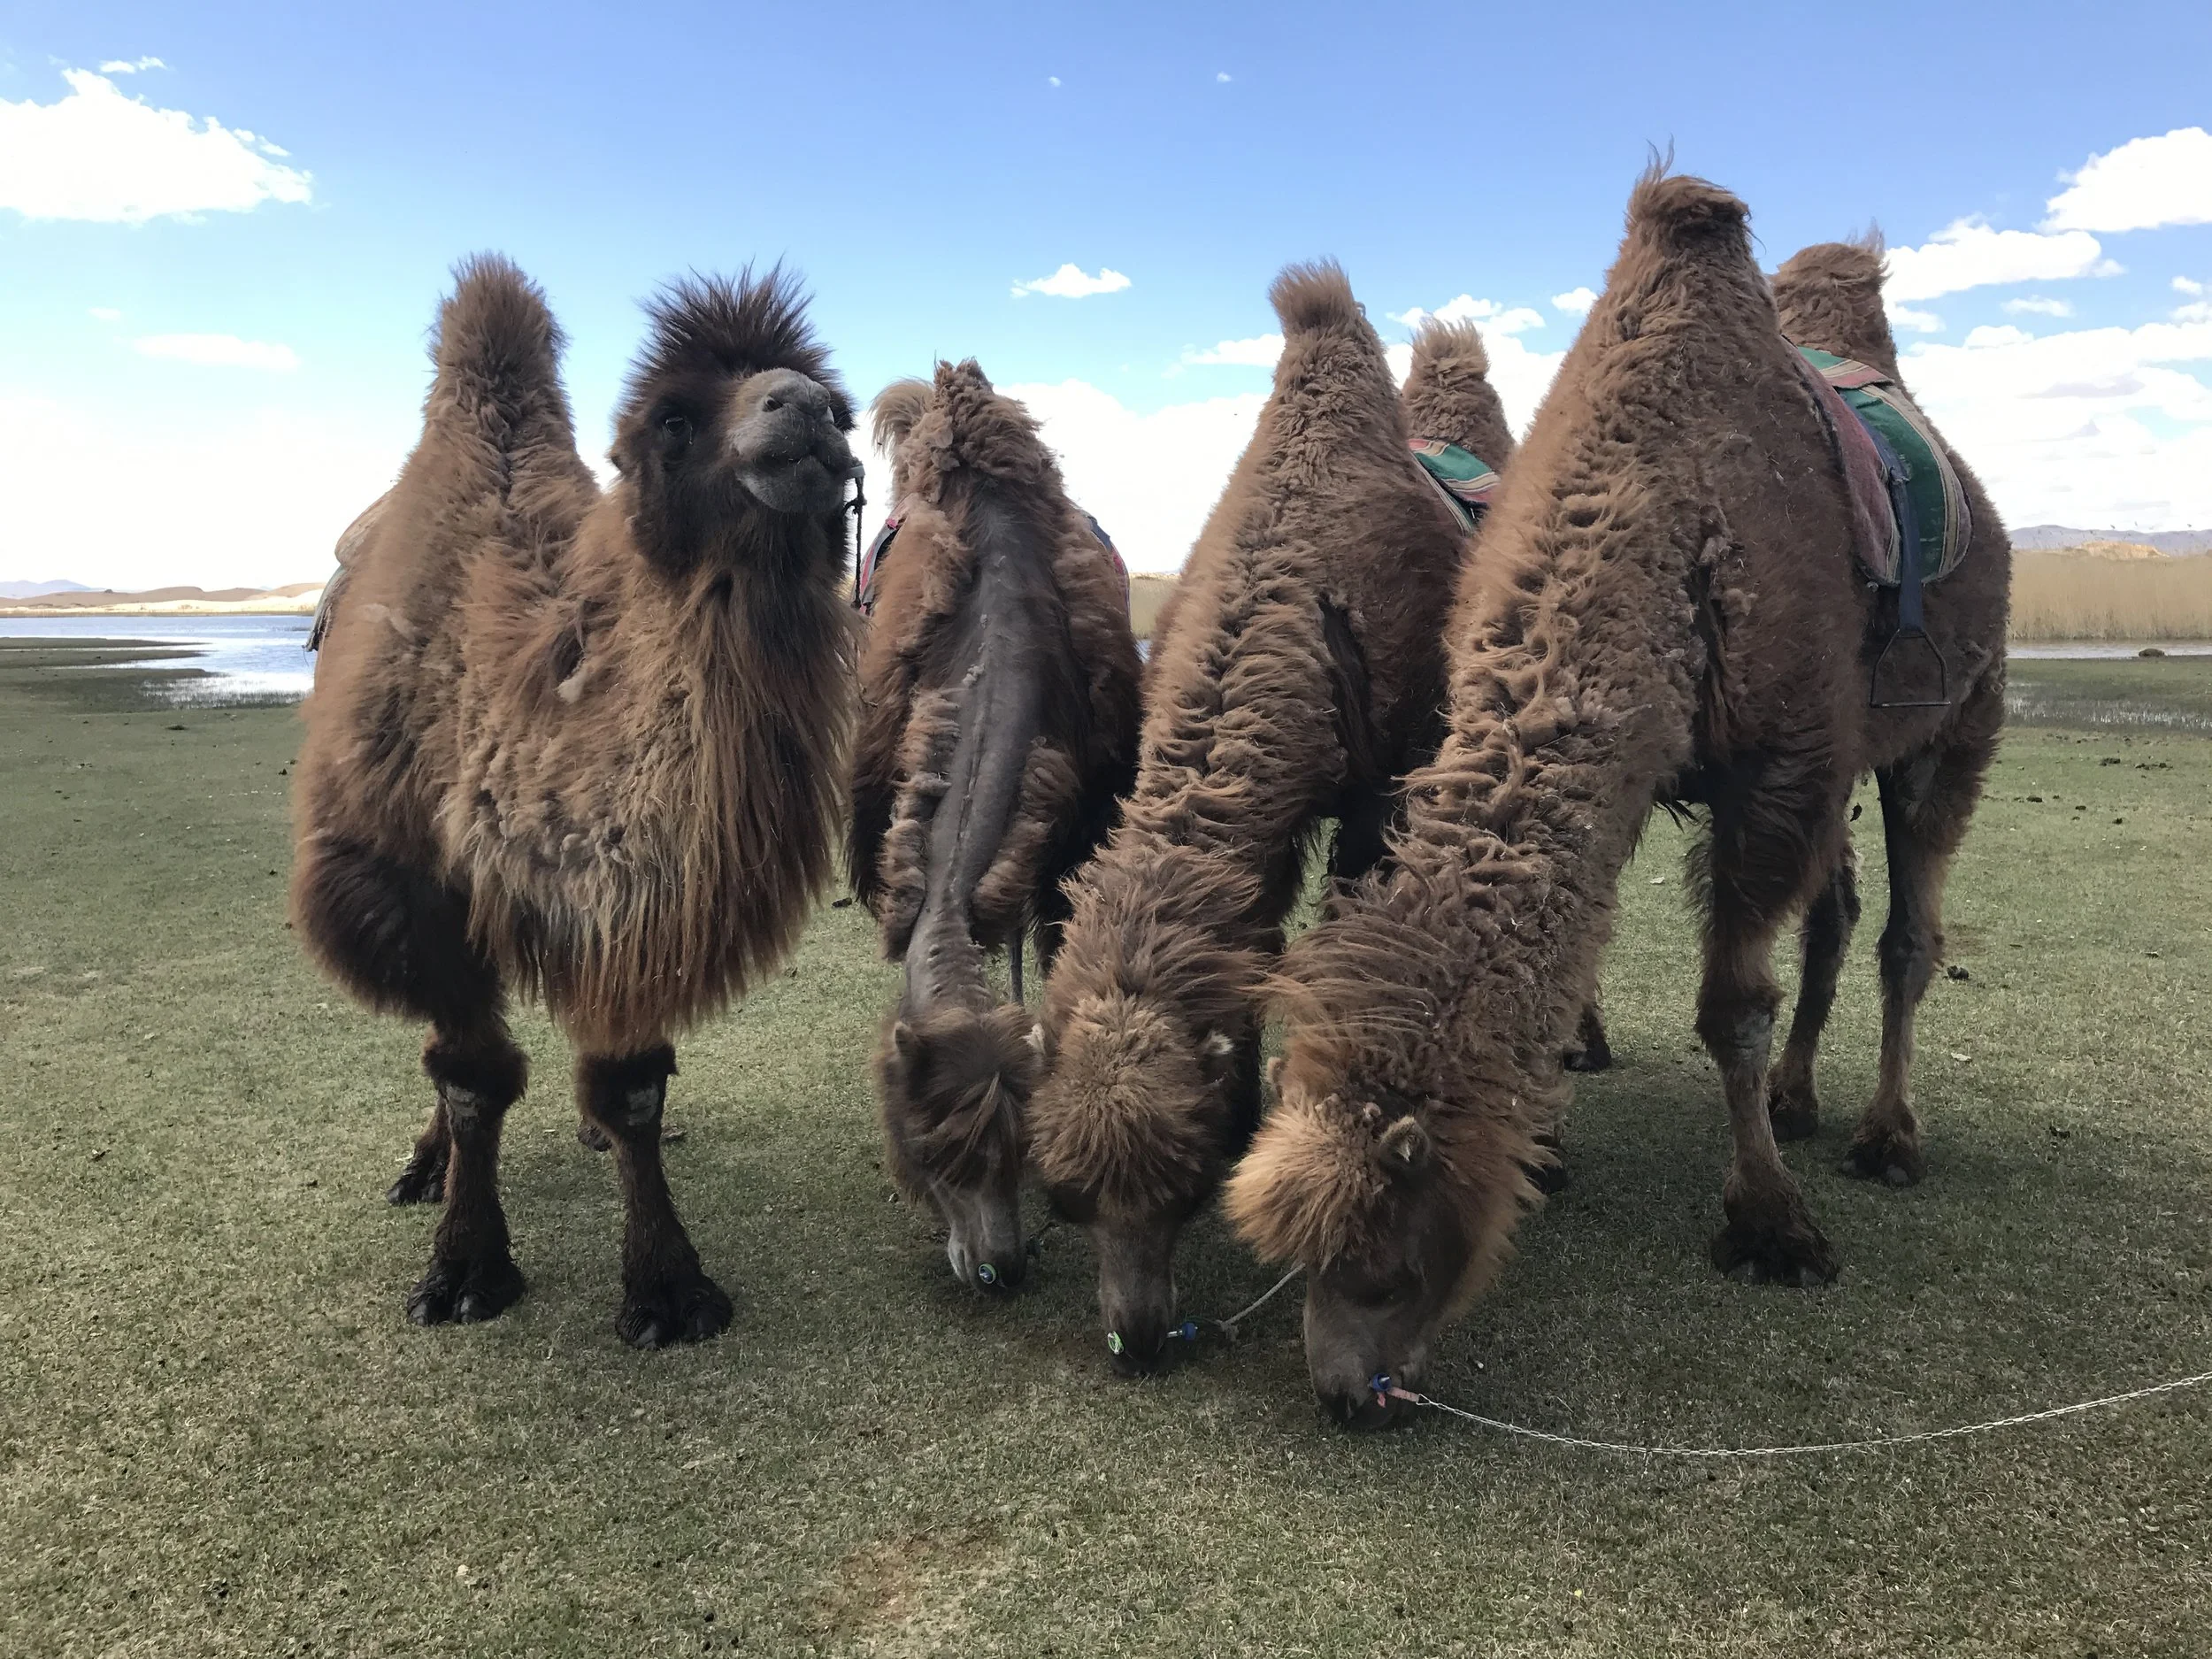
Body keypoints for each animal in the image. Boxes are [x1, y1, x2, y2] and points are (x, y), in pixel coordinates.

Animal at [291, 256, 862, 1347]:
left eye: (844, 409)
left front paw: (668, 1288)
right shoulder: (406, 885)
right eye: (673, 418)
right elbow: (472, 1078)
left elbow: (630, 1088)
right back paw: (425, 1167)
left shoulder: (628, 909)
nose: (804, 408)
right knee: (441, 1054)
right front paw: (465, 1269)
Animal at [1225, 172, 2010, 1425]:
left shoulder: (1778, 761)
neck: (1650, 526)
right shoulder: (1668, 760)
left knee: (1907, 931)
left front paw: (1770, 1224)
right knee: (1837, 914)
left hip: (1954, 720)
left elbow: (1730, 1005)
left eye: (1389, 1262)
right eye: (1301, 1257)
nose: (1346, 1392)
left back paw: (1887, 1137)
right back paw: (1797, 1099)